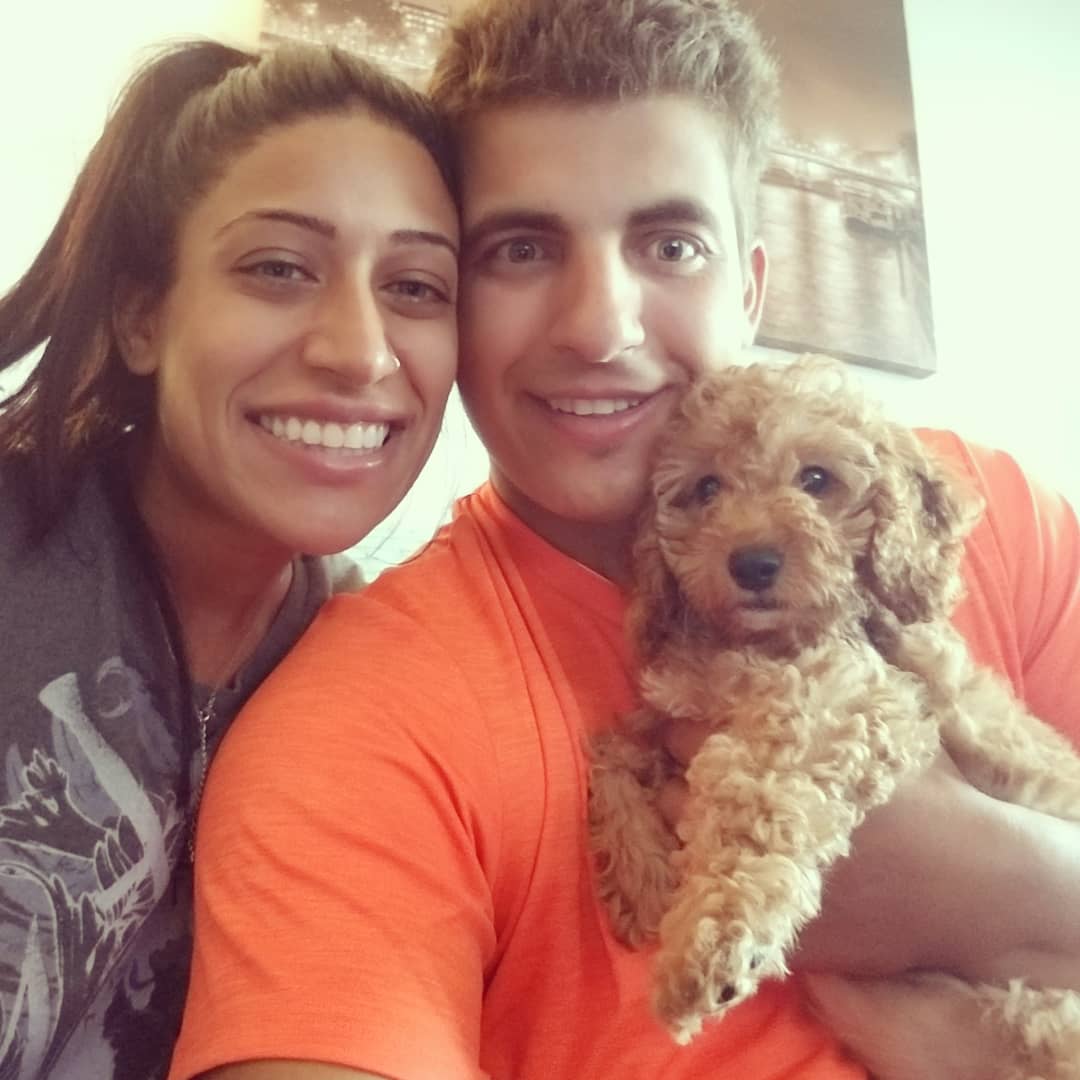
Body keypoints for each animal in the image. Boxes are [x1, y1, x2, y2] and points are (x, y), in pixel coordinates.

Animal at [588, 355, 1080, 1075]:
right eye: (705, 488)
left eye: (816, 479)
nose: (752, 563)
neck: (765, 642)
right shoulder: (677, 705)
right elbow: (610, 751)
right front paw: (640, 876)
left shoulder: (850, 701)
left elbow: (756, 807)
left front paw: (710, 948)